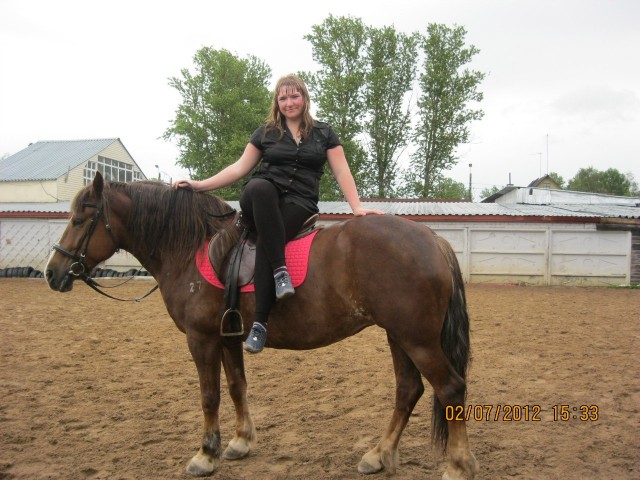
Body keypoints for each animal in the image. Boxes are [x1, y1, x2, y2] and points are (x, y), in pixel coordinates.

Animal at [43, 173, 476, 480]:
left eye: (80, 219)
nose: (52, 272)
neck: (191, 248)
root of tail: (434, 239)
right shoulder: (228, 337)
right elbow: (237, 386)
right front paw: (240, 442)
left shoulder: (202, 339)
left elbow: (209, 396)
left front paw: (206, 455)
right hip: (398, 336)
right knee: (409, 390)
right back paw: (379, 455)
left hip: (416, 339)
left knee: (450, 389)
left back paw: (457, 466)